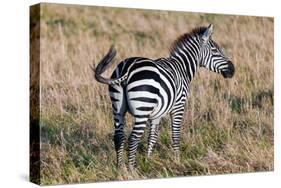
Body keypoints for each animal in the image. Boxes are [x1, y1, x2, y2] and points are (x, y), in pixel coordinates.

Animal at [92, 24, 234, 168]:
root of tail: (127, 67)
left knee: (119, 136)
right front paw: (177, 160)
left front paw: (148, 160)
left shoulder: (157, 113)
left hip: (117, 108)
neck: (183, 68)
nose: (233, 69)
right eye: (216, 50)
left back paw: (120, 168)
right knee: (133, 138)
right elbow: (175, 134)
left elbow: (152, 137)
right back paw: (131, 169)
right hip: (142, 109)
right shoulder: (179, 105)